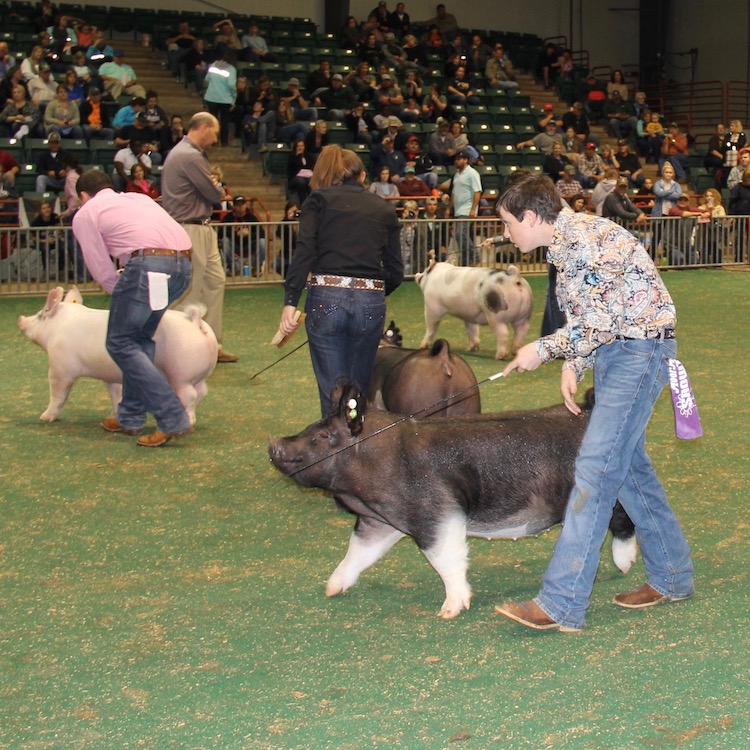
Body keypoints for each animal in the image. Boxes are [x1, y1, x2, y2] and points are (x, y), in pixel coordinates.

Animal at [17, 288, 219, 426]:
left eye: (39, 315)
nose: (20, 318)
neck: (56, 329)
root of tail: (196, 322)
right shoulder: (110, 375)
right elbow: (116, 394)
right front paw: (112, 417)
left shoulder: (61, 368)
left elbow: (58, 394)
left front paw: (44, 417)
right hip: (200, 373)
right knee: (202, 391)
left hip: (181, 374)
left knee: (190, 395)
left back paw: (189, 421)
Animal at [268, 384, 636, 620]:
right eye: (312, 426)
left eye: (324, 436)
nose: (274, 443)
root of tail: (586, 410)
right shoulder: (378, 521)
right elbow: (358, 552)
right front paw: (332, 589)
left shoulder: (435, 513)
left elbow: (446, 559)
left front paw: (448, 612)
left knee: (624, 519)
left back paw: (624, 566)